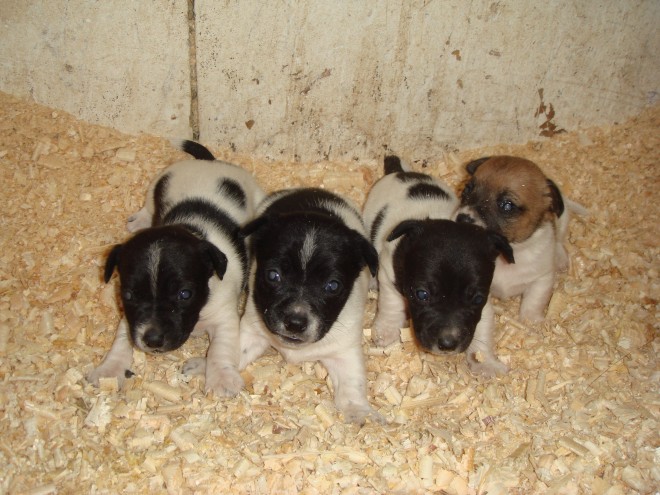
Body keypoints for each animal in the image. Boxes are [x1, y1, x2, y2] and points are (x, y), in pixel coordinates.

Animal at [87, 141, 266, 398]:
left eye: (185, 294)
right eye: (128, 295)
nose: (152, 339)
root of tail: (209, 162)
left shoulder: (224, 318)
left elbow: (220, 349)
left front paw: (221, 378)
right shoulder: (130, 321)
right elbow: (121, 341)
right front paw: (109, 370)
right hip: (158, 184)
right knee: (148, 206)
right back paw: (140, 220)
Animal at [238, 188, 382, 424]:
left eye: (333, 286)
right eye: (273, 275)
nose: (295, 323)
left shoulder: (345, 351)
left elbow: (352, 384)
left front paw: (360, 412)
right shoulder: (252, 331)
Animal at [364, 157, 512, 378]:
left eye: (477, 299)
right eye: (422, 294)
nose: (448, 344)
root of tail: (400, 172)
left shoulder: (484, 305)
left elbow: (483, 328)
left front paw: (485, 362)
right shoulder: (389, 273)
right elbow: (392, 303)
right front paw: (387, 331)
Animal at [454, 157, 584, 324]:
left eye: (507, 205)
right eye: (467, 190)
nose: (462, 218)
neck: (506, 255)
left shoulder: (541, 279)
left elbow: (533, 303)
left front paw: (531, 322)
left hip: (563, 219)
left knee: (559, 240)